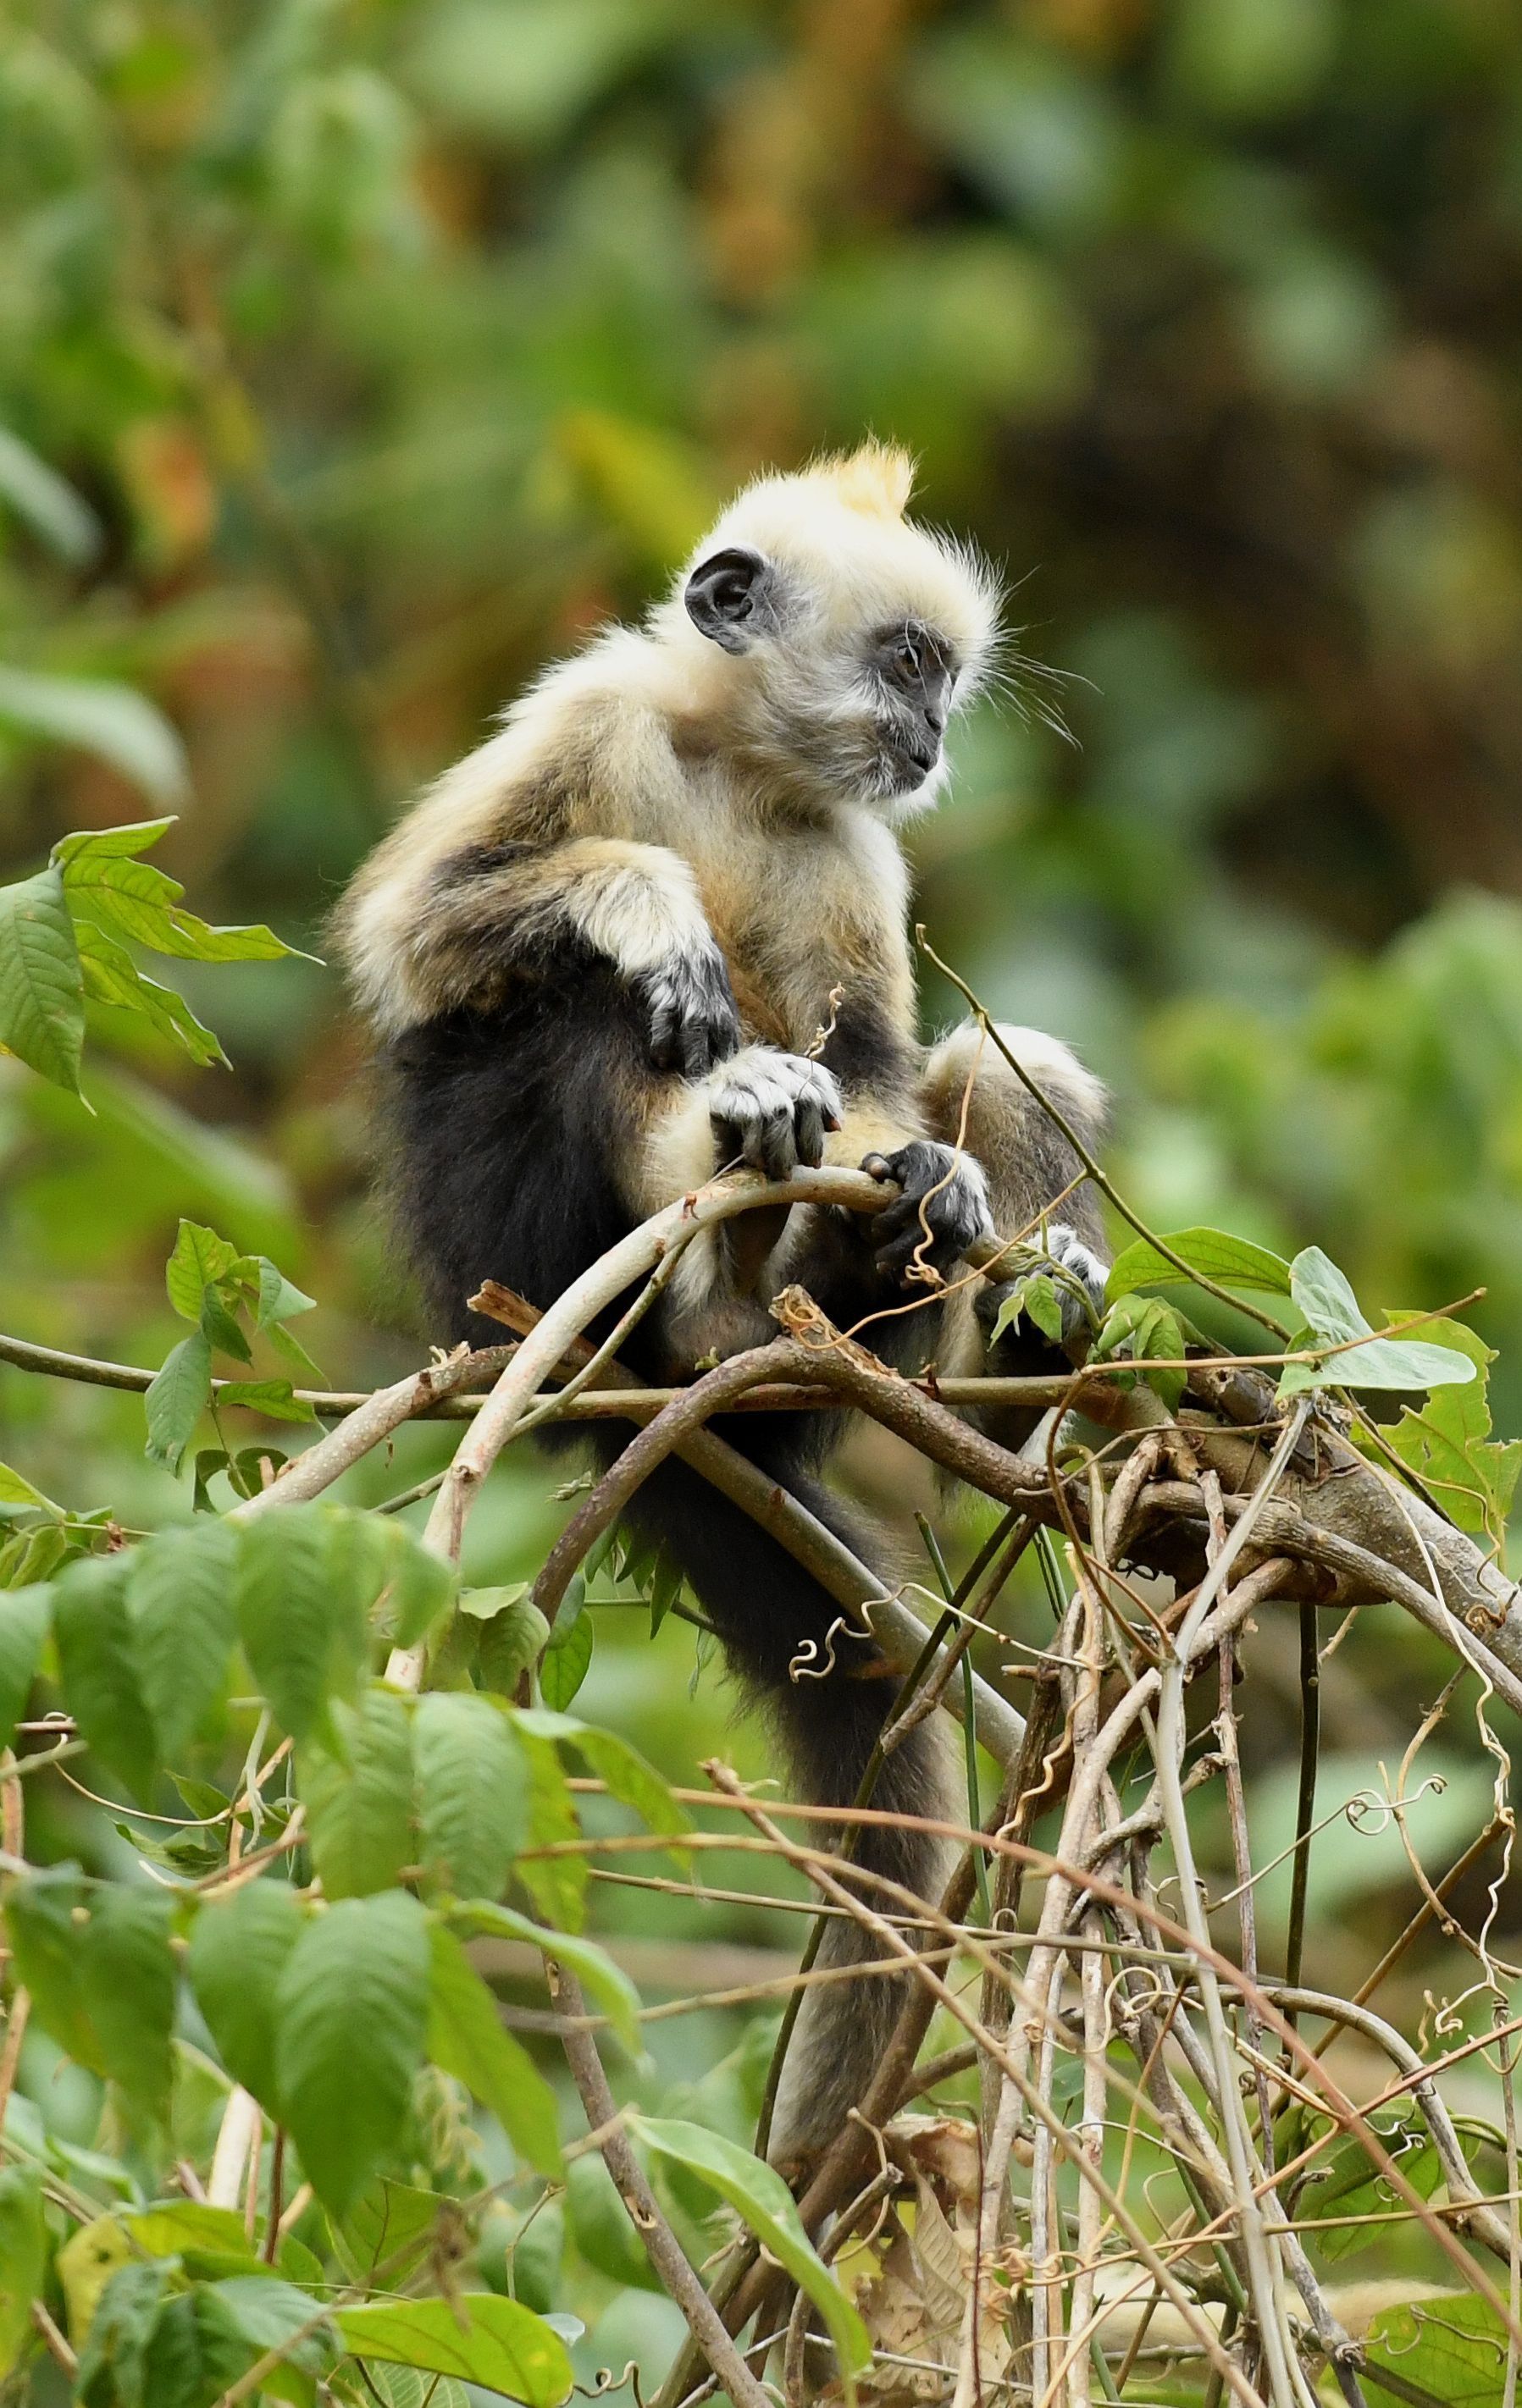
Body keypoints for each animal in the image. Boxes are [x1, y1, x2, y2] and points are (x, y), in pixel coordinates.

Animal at [335, 447, 1107, 2167]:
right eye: (909, 664)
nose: (935, 739)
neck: (738, 765)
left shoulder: (852, 842)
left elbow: (889, 1067)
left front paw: (941, 1191)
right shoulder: (591, 713)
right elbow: (414, 942)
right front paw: (646, 909)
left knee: (998, 1054)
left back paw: (988, 1316)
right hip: (506, 1256)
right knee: (576, 1018)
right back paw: (722, 1230)